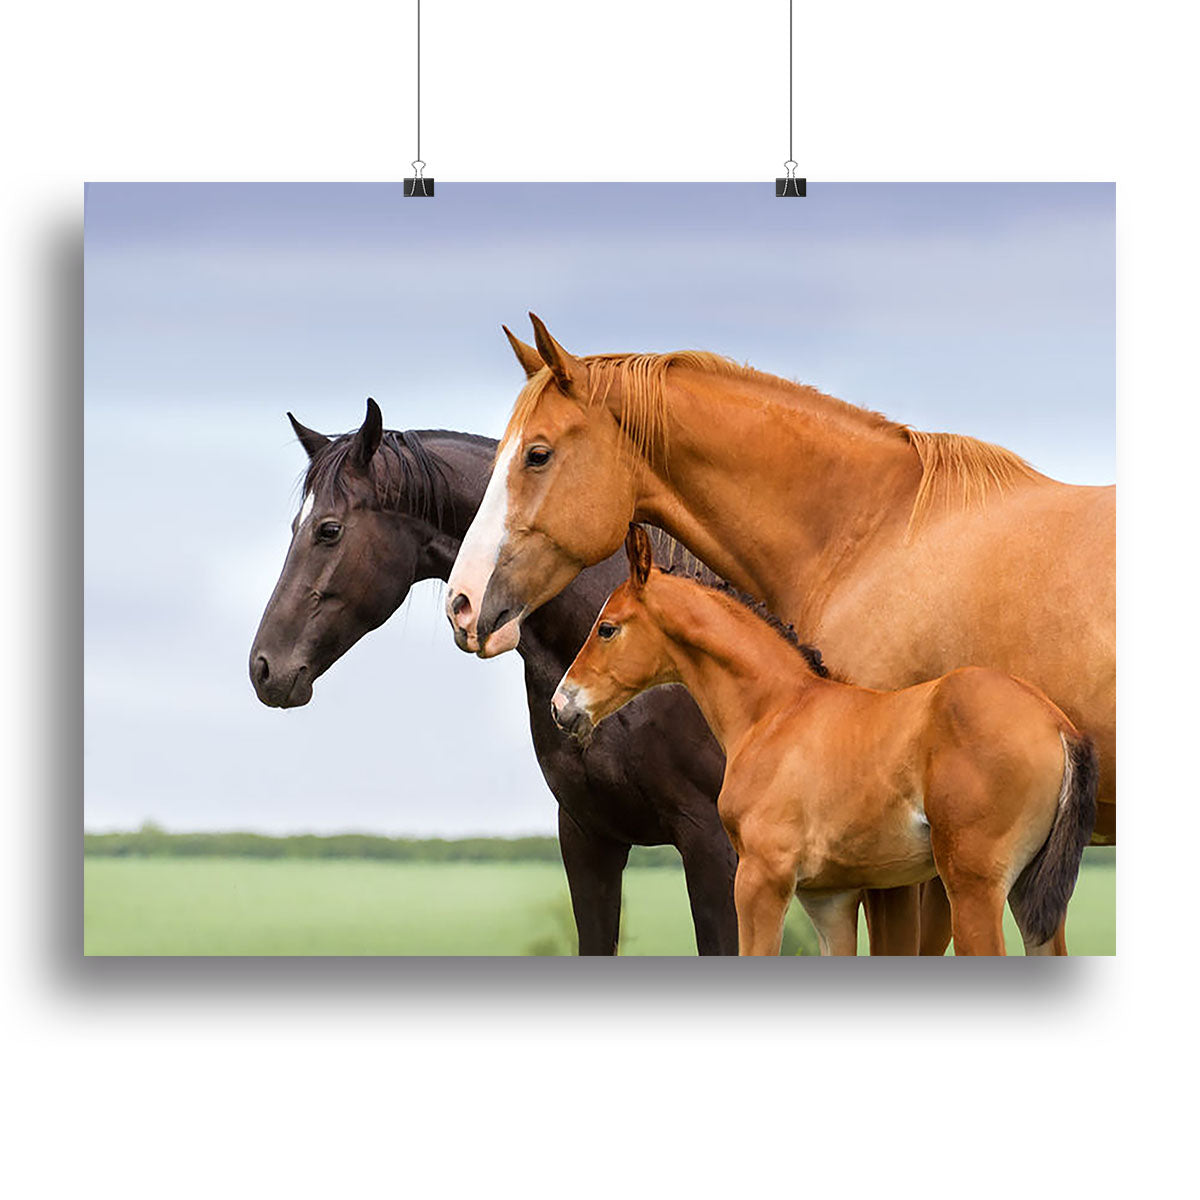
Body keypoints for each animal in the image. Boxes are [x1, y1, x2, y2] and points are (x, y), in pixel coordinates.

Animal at [552, 526, 1098, 955]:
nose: (562, 706)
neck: (776, 712)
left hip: (973, 889)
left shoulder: (761, 880)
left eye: (607, 628)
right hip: (1030, 894)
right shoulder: (828, 899)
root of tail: (1056, 724)